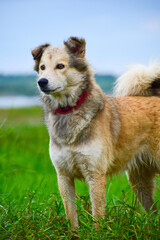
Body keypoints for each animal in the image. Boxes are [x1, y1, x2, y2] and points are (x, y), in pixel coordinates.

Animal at [31, 36, 160, 228]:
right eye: (42, 67)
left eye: (60, 66)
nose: (42, 82)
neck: (69, 110)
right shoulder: (63, 176)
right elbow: (71, 215)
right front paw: (74, 233)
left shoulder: (95, 175)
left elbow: (97, 214)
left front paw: (97, 232)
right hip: (139, 181)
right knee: (153, 211)